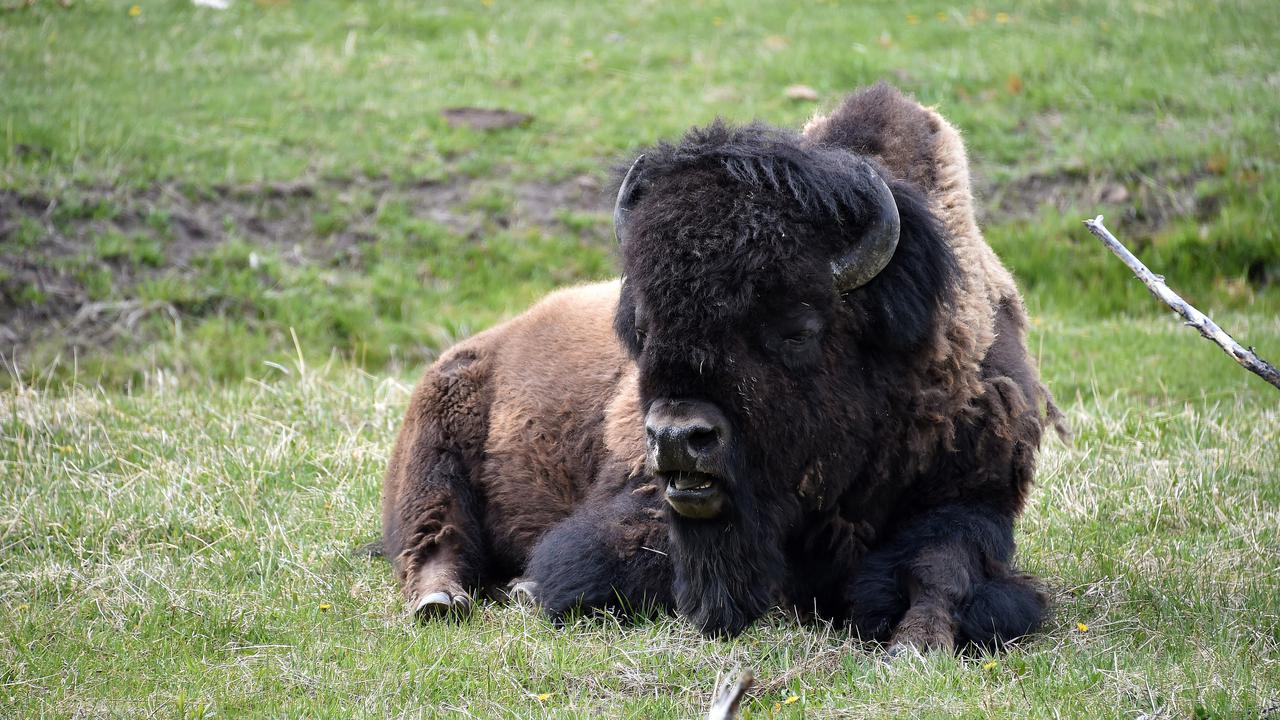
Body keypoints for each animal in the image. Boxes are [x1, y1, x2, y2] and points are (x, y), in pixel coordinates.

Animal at [381, 84, 1061, 651]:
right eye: (644, 328)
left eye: (797, 328)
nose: (679, 437)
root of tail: (476, 348)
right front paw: (529, 590)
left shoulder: (973, 499)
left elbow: (942, 568)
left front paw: (917, 643)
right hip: (432, 457)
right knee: (434, 536)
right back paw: (440, 601)